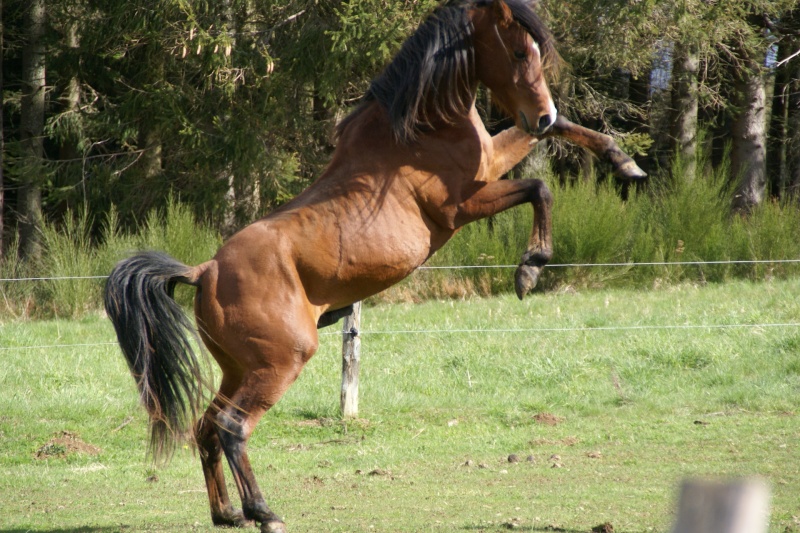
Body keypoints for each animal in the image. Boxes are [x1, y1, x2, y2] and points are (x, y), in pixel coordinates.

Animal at [104, 2, 644, 528]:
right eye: (516, 52)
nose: (542, 114)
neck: (417, 128)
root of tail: (205, 271)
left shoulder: (492, 159)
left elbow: (547, 144)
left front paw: (624, 162)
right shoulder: (462, 206)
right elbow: (540, 188)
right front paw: (530, 268)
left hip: (239, 369)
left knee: (206, 428)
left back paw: (227, 513)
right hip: (280, 363)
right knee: (232, 427)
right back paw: (264, 513)